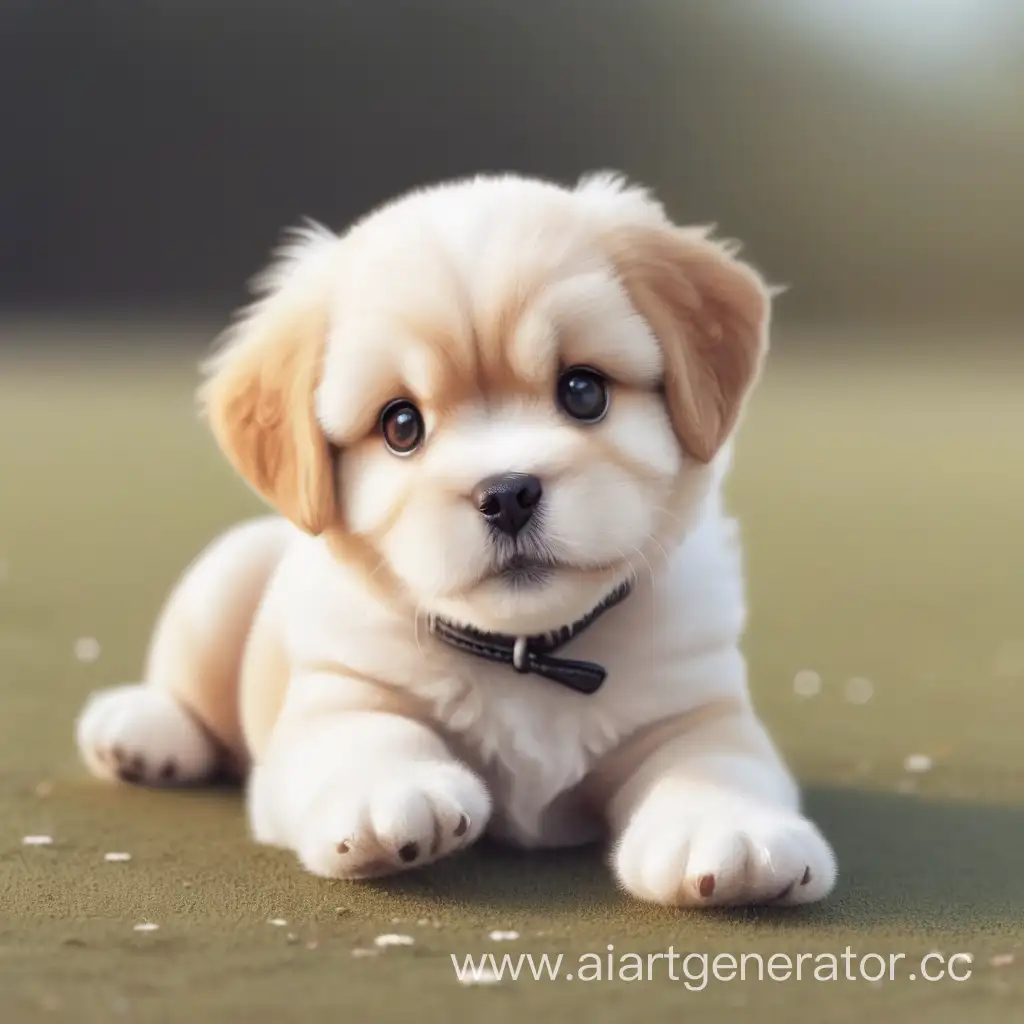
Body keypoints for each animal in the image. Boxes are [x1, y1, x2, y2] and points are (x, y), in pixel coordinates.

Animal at [75, 172, 835, 909]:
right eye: (401, 425)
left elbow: (714, 766)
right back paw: (142, 732)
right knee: (186, 688)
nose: (507, 494)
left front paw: (732, 833)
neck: (528, 656)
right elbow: (366, 737)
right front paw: (388, 798)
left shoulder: (693, 710)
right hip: (223, 578)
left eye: (583, 391)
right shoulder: (339, 693)